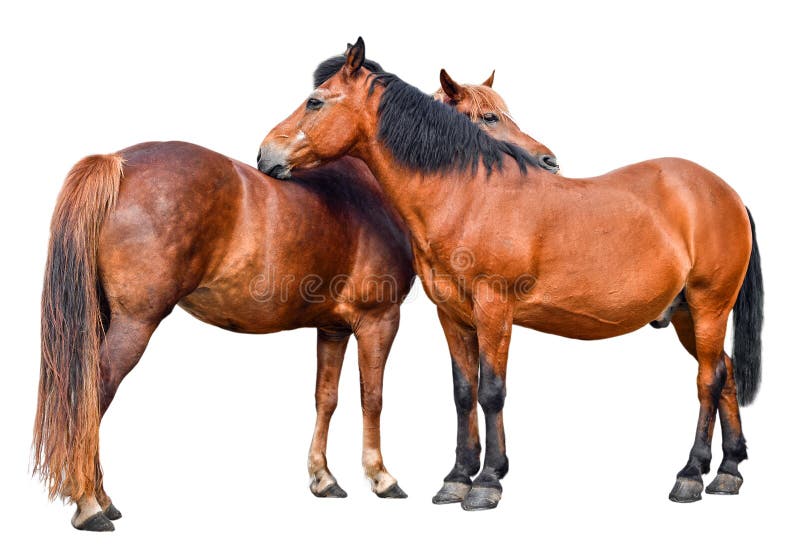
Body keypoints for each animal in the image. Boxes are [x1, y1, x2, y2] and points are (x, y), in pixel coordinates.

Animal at [260, 37, 764, 510]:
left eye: (315, 102)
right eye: (488, 117)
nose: (266, 154)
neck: (468, 195)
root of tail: (727, 193)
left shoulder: (494, 310)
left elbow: (492, 392)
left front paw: (487, 482)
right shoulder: (453, 315)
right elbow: (464, 391)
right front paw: (456, 479)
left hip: (709, 305)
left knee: (707, 381)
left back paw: (691, 475)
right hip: (685, 315)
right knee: (725, 373)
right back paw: (728, 472)